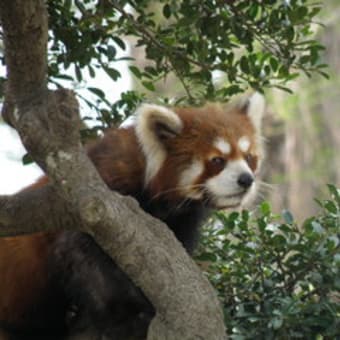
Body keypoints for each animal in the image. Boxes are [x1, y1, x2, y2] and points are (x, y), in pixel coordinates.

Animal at [0, 91, 266, 338]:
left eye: (249, 158)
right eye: (217, 160)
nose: (246, 180)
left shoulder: (181, 222)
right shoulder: (96, 199)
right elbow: (85, 256)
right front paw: (132, 313)